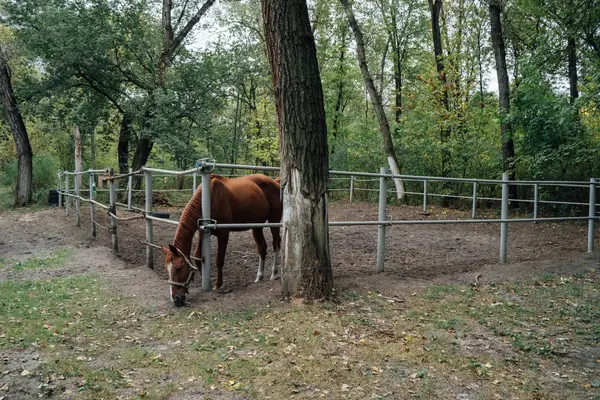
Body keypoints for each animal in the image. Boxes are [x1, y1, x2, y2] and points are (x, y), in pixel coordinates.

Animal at [159, 173, 282, 306]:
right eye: (166, 270)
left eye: (178, 268)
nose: (176, 298)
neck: (209, 197)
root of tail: (276, 182)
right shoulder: (202, 233)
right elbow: (197, 257)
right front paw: (203, 280)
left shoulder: (223, 234)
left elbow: (219, 260)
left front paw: (218, 284)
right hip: (256, 226)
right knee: (262, 248)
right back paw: (259, 277)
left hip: (274, 221)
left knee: (276, 244)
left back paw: (274, 273)